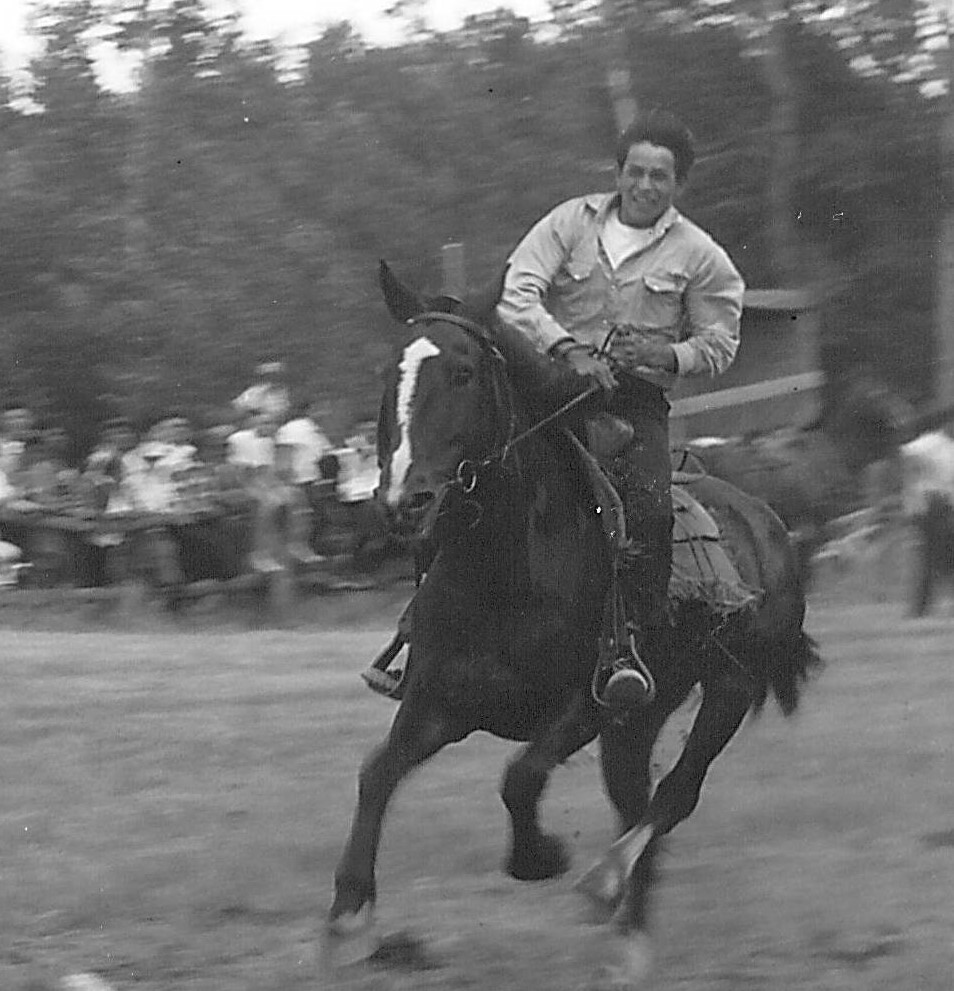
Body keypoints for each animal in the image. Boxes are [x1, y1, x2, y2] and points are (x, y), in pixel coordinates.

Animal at [325, 262, 823, 988]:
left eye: (465, 372)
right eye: (393, 372)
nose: (403, 500)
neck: (507, 569)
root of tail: (769, 524)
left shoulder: (585, 707)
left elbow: (520, 777)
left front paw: (541, 857)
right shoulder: (438, 703)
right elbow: (375, 774)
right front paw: (347, 914)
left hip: (724, 693)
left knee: (674, 795)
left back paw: (606, 884)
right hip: (638, 725)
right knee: (636, 799)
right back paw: (626, 935)